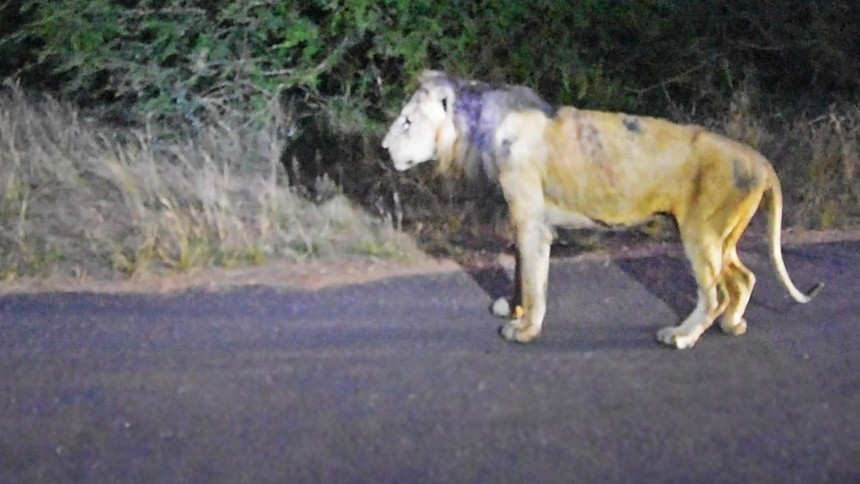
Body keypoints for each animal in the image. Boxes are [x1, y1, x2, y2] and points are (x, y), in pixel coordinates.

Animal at [382, 70, 820, 350]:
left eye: (406, 122)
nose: (384, 147)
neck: (478, 129)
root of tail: (760, 160)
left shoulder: (531, 218)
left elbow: (535, 280)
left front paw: (524, 329)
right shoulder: (523, 218)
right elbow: (521, 269)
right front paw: (513, 308)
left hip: (701, 234)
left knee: (713, 294)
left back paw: (681, 336)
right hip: (722, 236)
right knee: (743, 279)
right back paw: (731, 324)